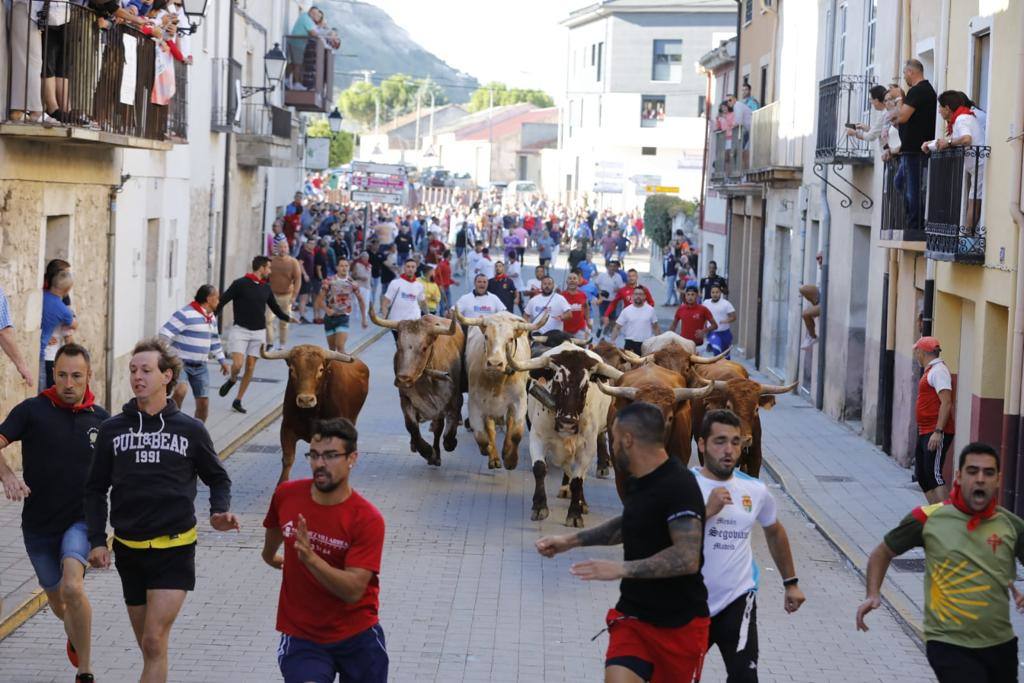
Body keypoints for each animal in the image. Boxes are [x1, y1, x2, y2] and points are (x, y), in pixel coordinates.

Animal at [260, 344, 368, 483]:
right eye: (292, 369)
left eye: (321, 370)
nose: (306, 399)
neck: (310, 413)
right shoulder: (287, 429)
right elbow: (288, 459)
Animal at [368, 311, 464, 466]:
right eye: (398, 345)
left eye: (424, 347)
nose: (403, 378)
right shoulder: (405, 399)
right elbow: (412, 426)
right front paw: (426, 451)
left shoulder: (454, 400)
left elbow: (449, 430)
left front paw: (450, 443)